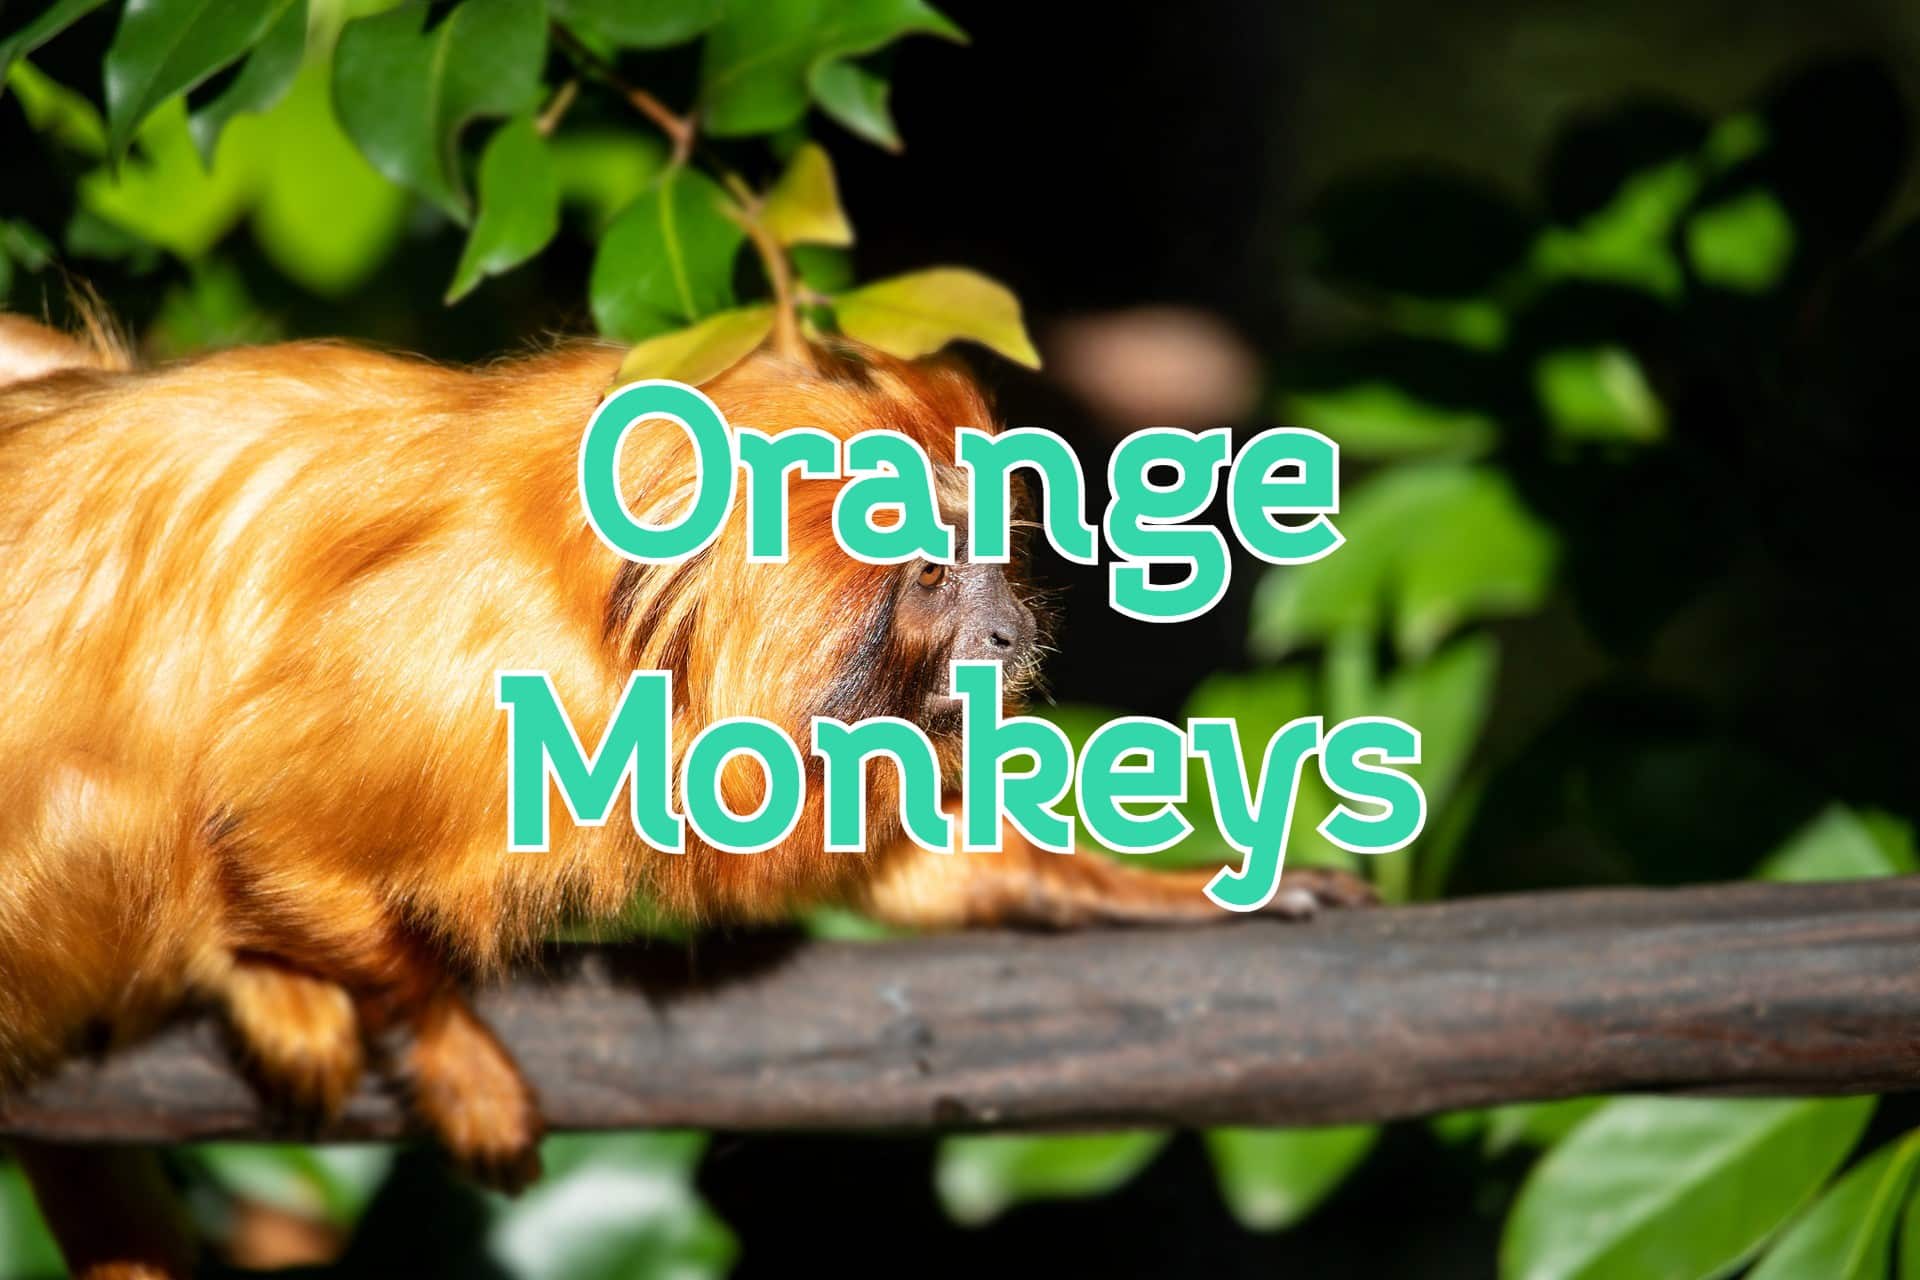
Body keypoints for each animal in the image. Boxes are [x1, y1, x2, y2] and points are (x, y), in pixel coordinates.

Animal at [0, 313, 1370, 1276]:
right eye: (931, 576)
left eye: (985, 558)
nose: (1004, 632)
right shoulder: (468, 665)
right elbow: (264, 816)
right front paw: (450, 1045)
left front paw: (1178, 892)